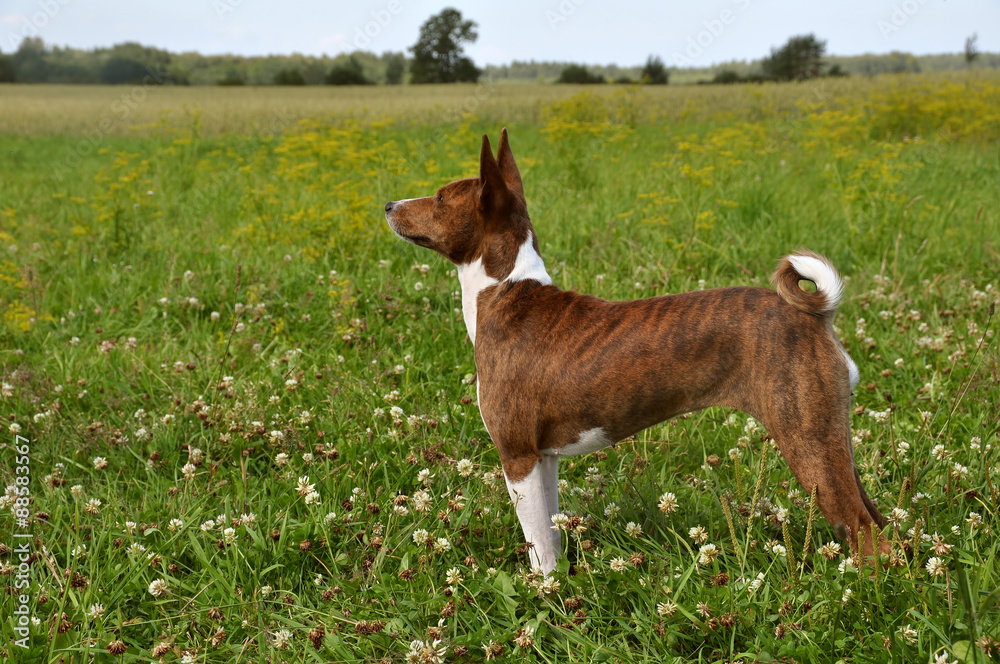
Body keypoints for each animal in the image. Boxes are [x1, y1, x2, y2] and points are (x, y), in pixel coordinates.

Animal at [384, 128, 892, 572]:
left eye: (441, 198)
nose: (388, 203)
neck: (504, 288)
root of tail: (815, 317)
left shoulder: (518, 456)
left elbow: (538, 547)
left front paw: (543, 594)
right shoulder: (543, 458)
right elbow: (551, 532)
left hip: (807, 442)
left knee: (864, 529)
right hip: (832, 438)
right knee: (879, 522)